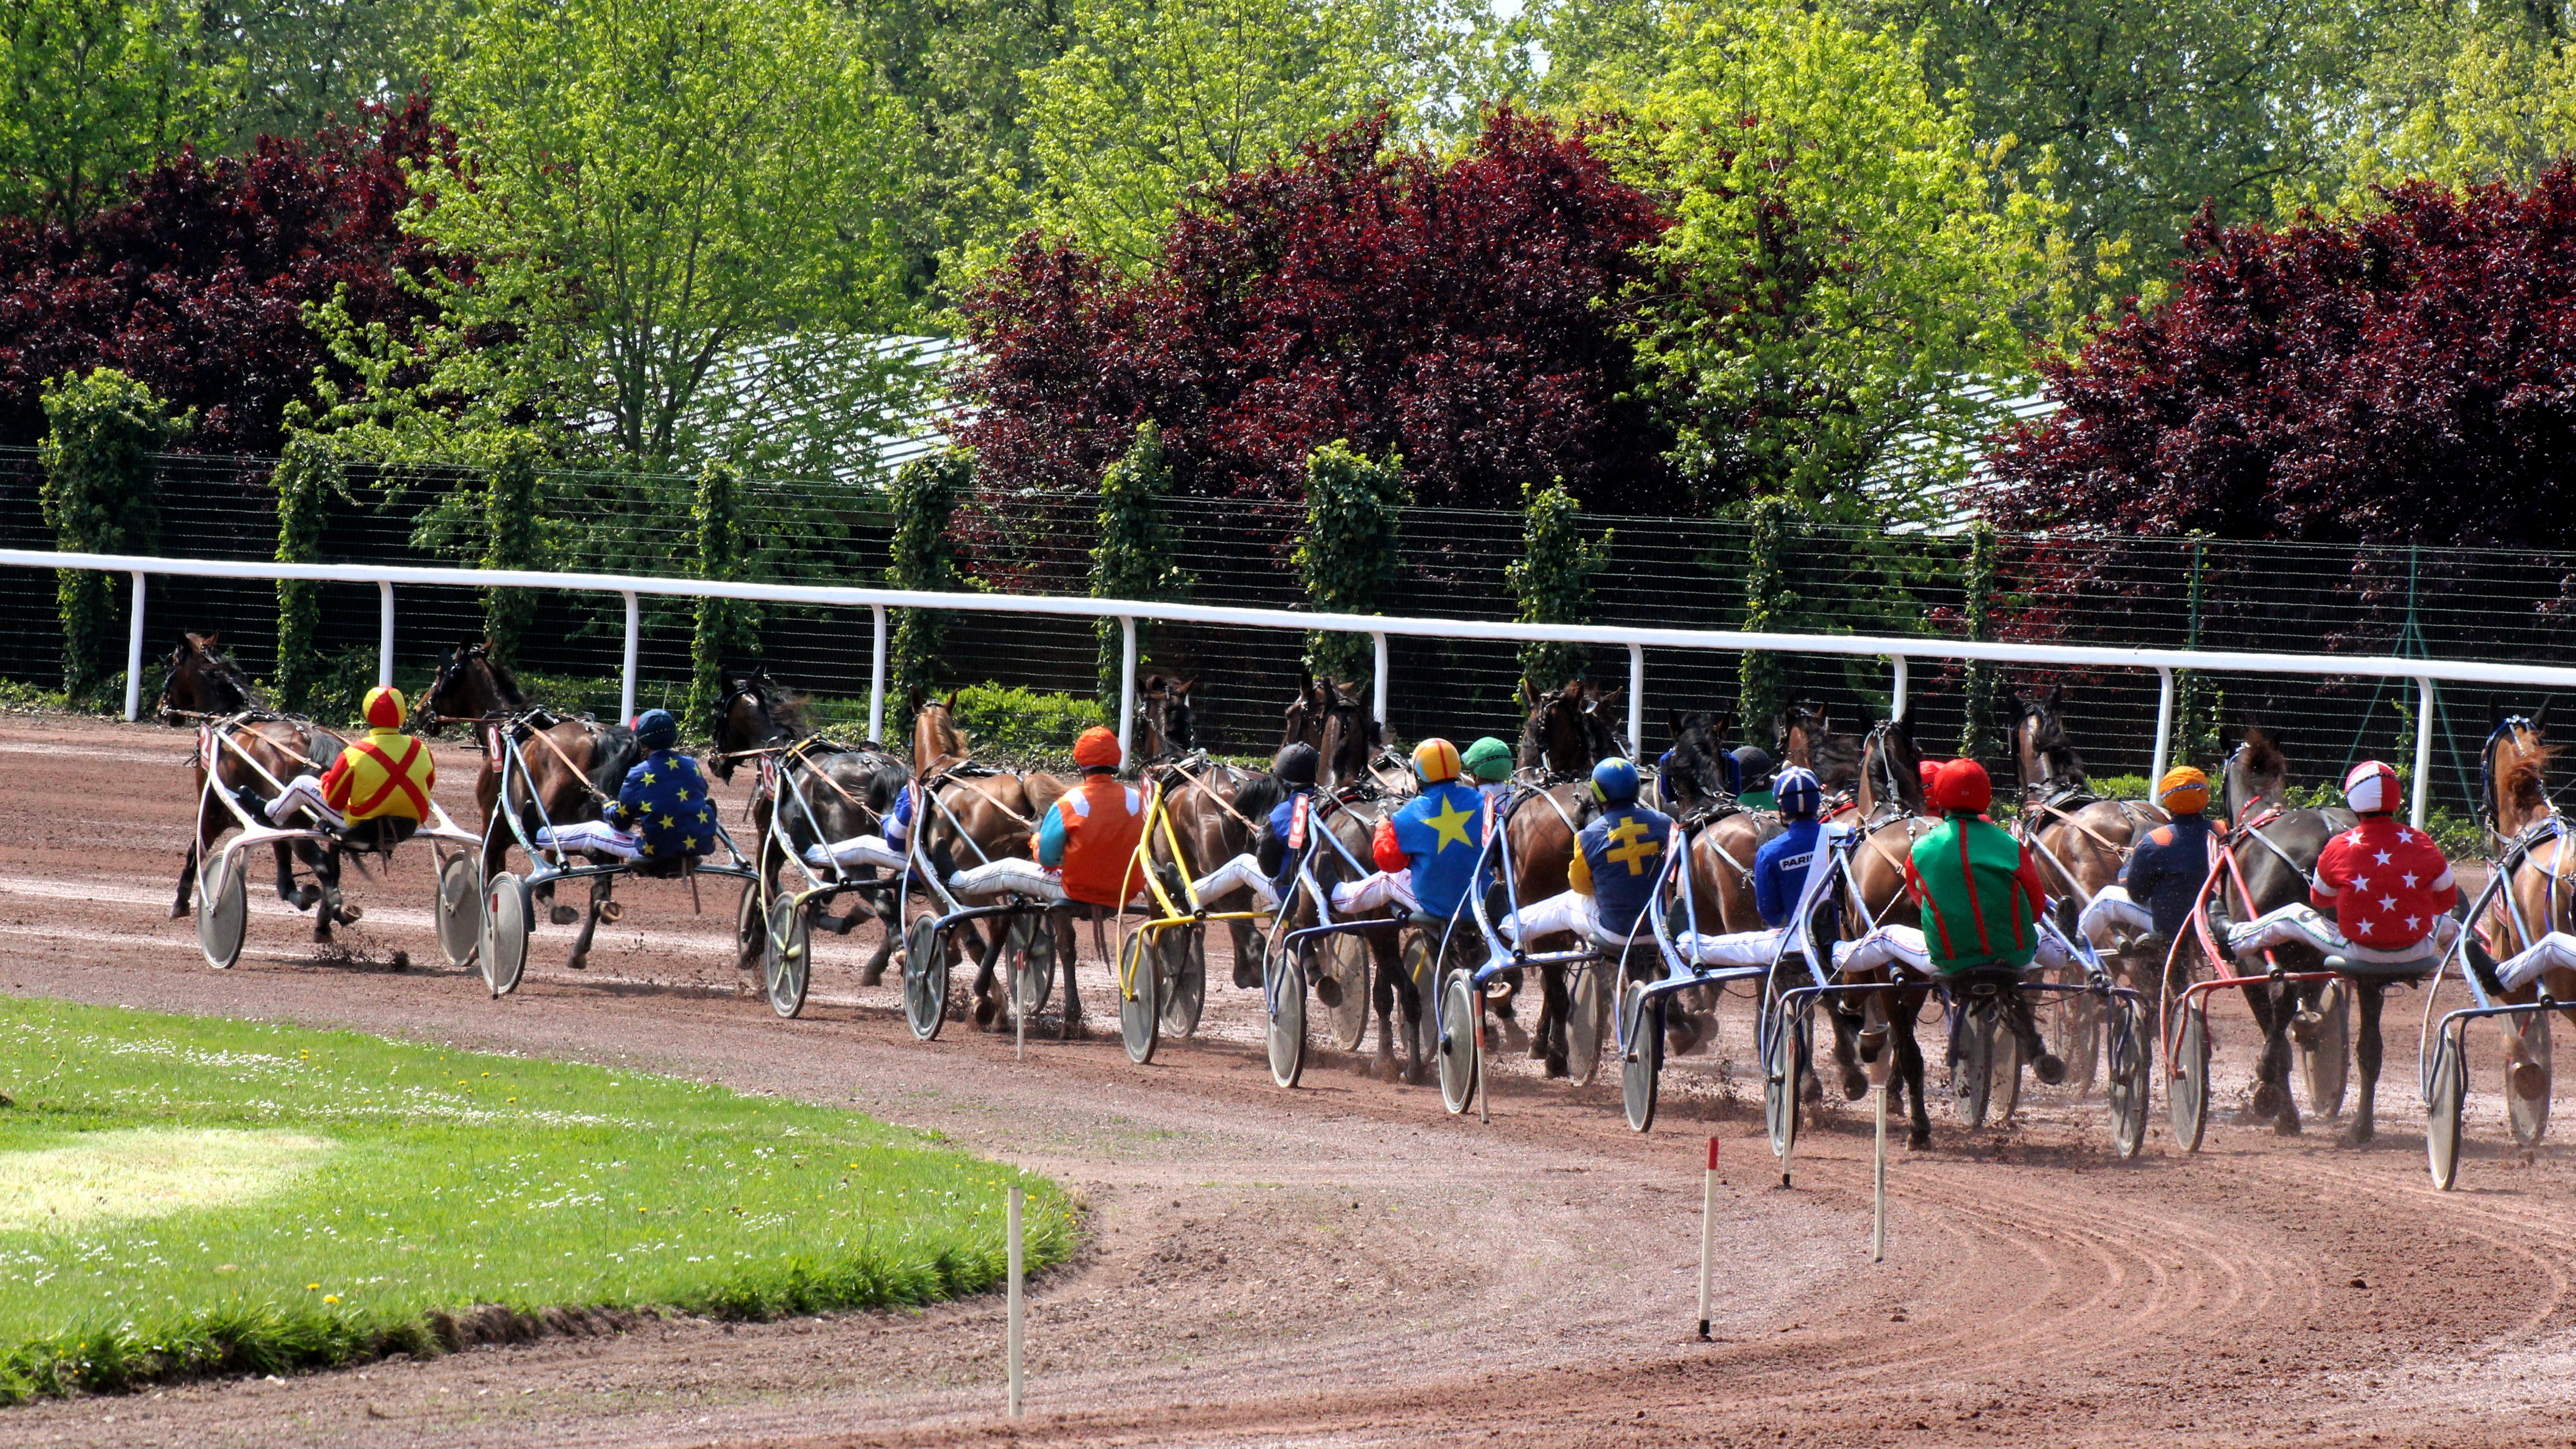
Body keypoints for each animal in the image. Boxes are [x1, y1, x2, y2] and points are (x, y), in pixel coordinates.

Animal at [159, 632, 355, 938]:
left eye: (171, 664)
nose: (162, 708)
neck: (229, 719)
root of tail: (314, 740)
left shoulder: (213, 812)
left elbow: (195, 850)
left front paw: (181, 903)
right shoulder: (271, 824)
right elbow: (284, 876)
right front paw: (300, 895)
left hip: (295, 822)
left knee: (322, 862)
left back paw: (336, 908)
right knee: (332, 863)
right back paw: (326, 918)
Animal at [706, 670, 906, 974]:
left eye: (717, 708)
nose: (713, 762)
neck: (778, 753)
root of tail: (876, 769)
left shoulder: (771, 841)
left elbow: (765, 888)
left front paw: (752, 944)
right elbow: (821, 901)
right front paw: (837, 919)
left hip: (856, 857)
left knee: (885, 900)